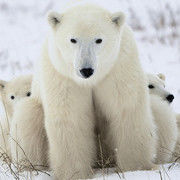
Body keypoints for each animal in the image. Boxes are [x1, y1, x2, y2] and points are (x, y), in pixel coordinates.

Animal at [31, 4, 158, 179]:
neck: (91, 80)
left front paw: (134, 168)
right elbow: (71, 119)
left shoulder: (118, 67)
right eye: (73, 39)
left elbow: (126, 111)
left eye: (99, 40)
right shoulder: (63, 75)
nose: (86, 70)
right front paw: (74, 173)